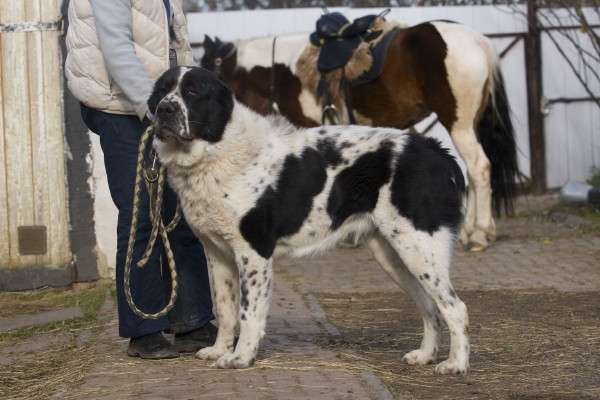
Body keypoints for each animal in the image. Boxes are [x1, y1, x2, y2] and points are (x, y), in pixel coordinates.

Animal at [149, 66, 468, 376]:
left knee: (456, 308)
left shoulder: (254, 253)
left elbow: (248, 313)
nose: (164, 109)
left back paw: (456, 365)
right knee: (430, 307)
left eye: (192, 92)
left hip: (419, 248)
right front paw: (220, 350)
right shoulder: (217, 253)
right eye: (163, 89)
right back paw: (425, 356)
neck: (219, 147)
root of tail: (436, 150)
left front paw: (241, 357)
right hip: (394, 254)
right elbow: (226, 310)